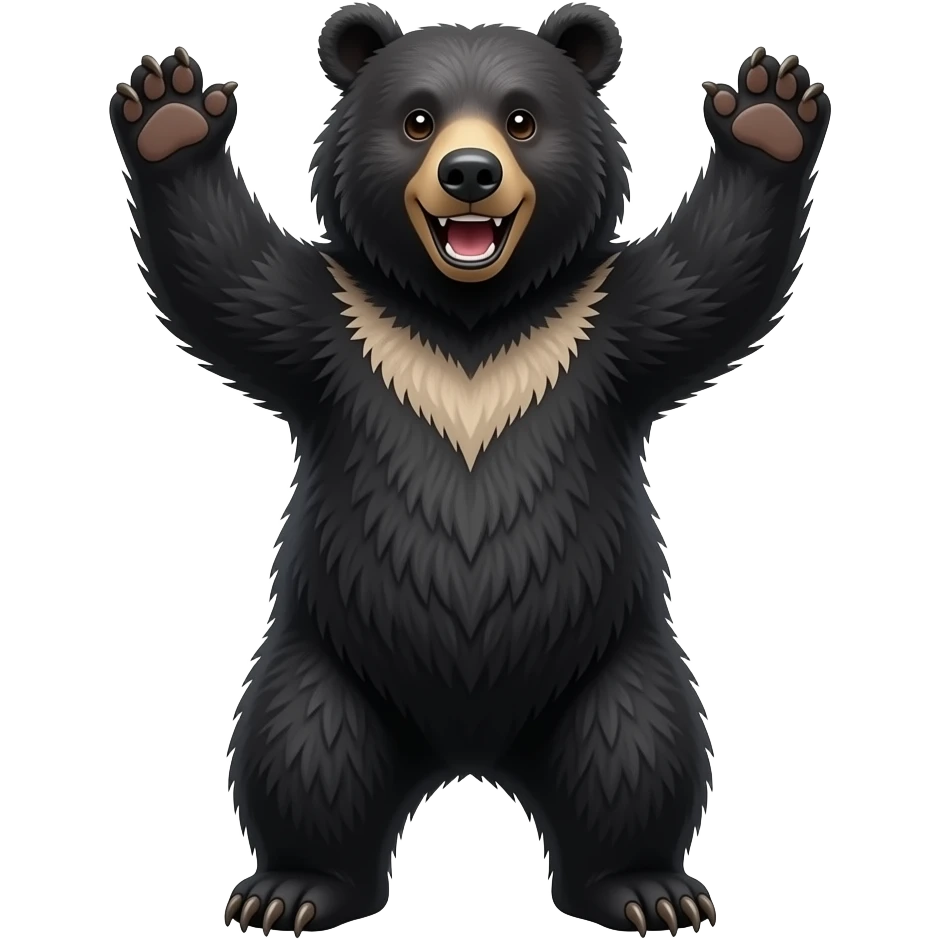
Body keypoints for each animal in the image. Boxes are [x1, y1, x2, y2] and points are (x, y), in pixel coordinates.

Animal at [110, 3, 829, 935]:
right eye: (418, 118)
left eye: (521, 118)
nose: (470, 173)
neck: (470, 323)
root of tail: (470, 748)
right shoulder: (339, 325)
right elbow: (230, 283)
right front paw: (170, 109)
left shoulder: (601, 325)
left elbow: (709, 283)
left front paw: (770, 109)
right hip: (329, 659)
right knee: (300, 748)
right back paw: (292, 889)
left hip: (612, 660)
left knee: (641, 748)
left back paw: (648, 889)